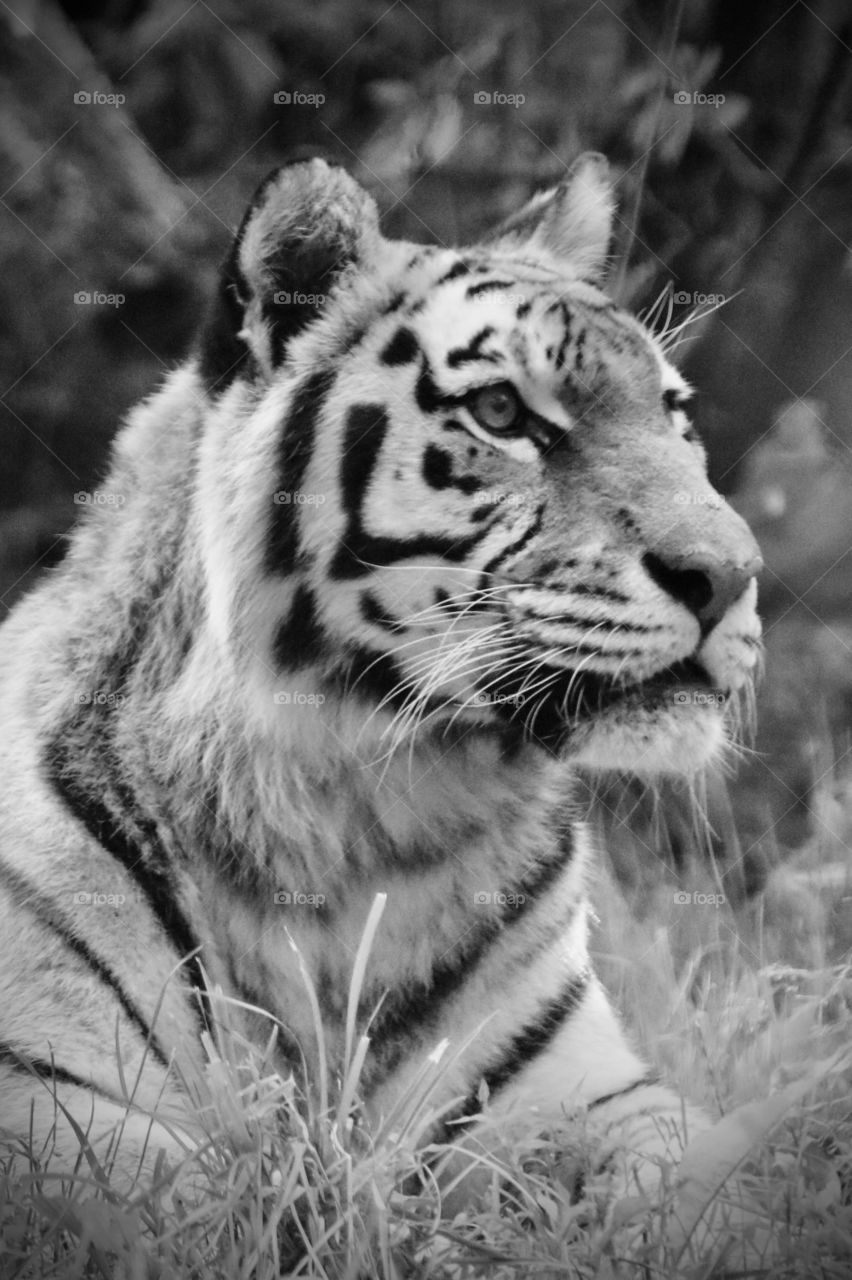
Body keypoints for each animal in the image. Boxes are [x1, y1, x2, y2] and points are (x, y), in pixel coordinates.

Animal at [0, 153, 762, 1231]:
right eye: (502, 414)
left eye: (674, 416)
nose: (733, 574)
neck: (365, 815)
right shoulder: (42, 1091)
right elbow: (176, 1196)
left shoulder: (587, 1088)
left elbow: (729, 1187)